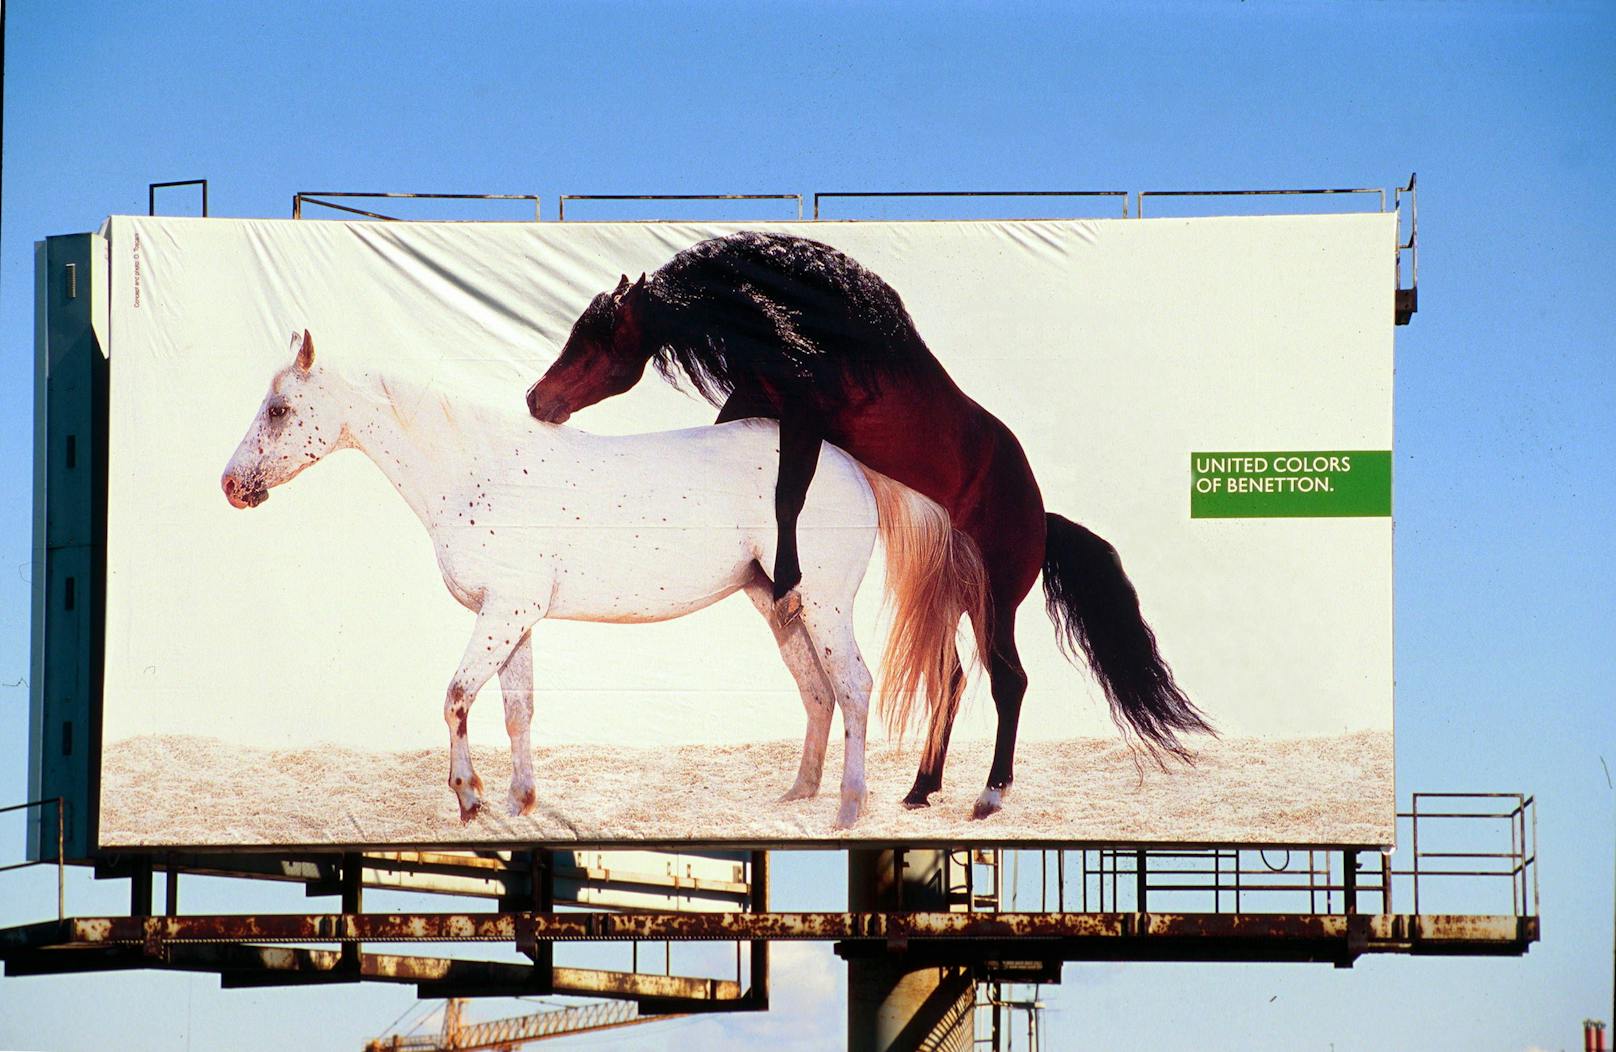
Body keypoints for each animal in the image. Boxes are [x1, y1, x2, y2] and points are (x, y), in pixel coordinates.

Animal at [213, 331, 969, 833]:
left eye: (278, 409)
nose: (230, 485)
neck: (479, 470)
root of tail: (847, 462)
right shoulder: (513, 619)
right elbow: (517, 710)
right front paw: (519, 802)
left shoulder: (502, 615)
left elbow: (456, 697)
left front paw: (470, 798)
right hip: (780, 605)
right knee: (817, 692)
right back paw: (796, 797)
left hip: (826, 606)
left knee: (853, 687)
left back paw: (848, 808)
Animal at [530, 234, 1215, 817]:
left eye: (593, 340)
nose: (537, 399)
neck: (814, 332)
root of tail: (1041, 517)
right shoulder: (758, 400)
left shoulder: (804, 415)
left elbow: (788, 492)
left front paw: (786, 577)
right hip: (951, 597)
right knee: (953, 677)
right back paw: (921, 787)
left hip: (996, 602)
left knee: (1008, 680)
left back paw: (989, 794)